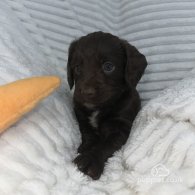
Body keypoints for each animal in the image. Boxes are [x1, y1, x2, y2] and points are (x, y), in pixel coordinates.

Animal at [66, 31, 146, 179]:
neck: (99, 108)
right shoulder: (81, 115)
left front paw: (90, 159)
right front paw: (86, 147)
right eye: (77, 68)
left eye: (108, 67)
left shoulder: (120, 127)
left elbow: (105, 145)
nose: (86, 92)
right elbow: (88, 133)